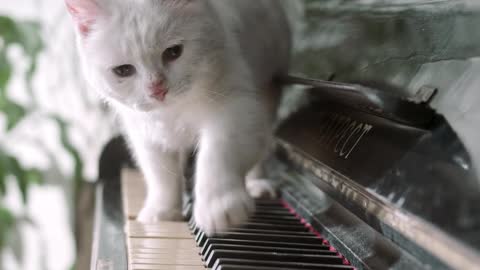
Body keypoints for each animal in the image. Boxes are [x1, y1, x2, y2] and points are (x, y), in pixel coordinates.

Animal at [65, 0, 290, 234]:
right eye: (123, 70)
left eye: (173, 52)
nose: (157, 90)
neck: (172, 112)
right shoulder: (145, 134)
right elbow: (160, 175)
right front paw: (163, 212)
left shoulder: (235, 110)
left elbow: (217, 154)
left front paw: (218, 207)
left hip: (266, 95)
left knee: (262, 148)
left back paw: (258, 184)